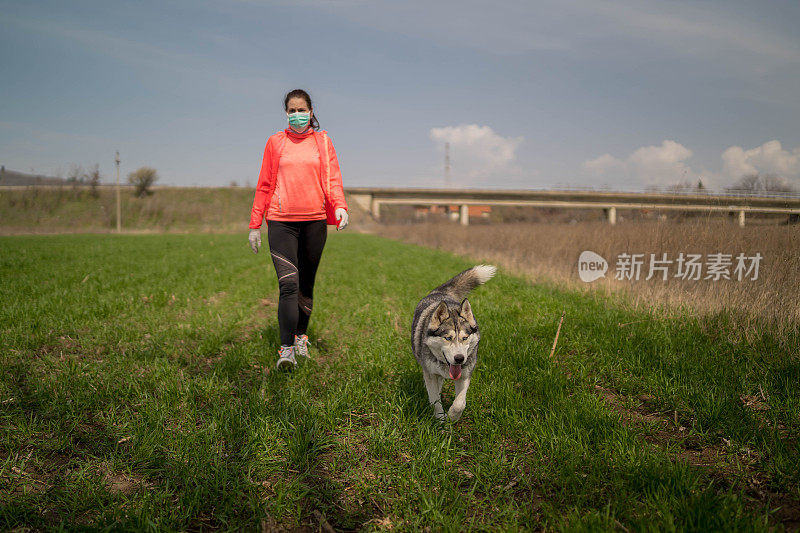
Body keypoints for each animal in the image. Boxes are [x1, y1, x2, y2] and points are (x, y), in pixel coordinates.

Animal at [412, 264, 494, 422]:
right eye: (448, 338)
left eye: (465, 338)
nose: (459, 358)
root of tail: (442, 293)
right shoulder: (430, 374)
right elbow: (435, 400)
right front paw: (441, 420)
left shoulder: (465, 374)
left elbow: (460, 403)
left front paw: (452, 417)